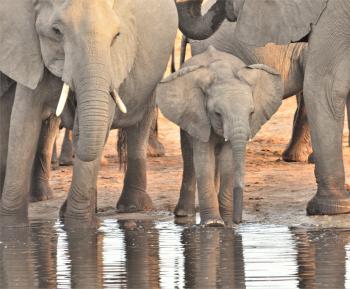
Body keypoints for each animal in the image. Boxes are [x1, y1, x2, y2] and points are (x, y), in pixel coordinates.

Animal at [0, 0, 178, 225]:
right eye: (56, 31)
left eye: (116, 36)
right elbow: (23, 123)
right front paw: (11, 223)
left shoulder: (113, 62)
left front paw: (78, 223)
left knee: (139, 127)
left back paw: (132, 207)